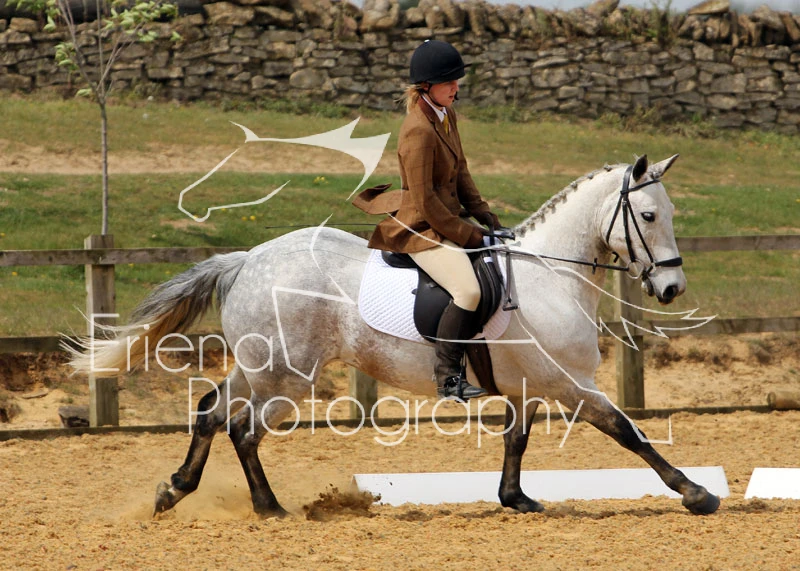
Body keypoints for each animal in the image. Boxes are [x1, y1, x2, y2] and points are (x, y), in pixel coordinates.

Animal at [68, 154, 721, 517]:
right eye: (648, 216)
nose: (671, 288)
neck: (550, 273)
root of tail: (248, 259)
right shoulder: (571, 384)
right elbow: (629, 432)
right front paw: (696, 494)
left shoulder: (531, 385)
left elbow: (516, 441)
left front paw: (516, 499)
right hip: (285, 372)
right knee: (238, 425)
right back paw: (252, 505)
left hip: (264, 366)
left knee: (215, 412)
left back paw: (194, 493)